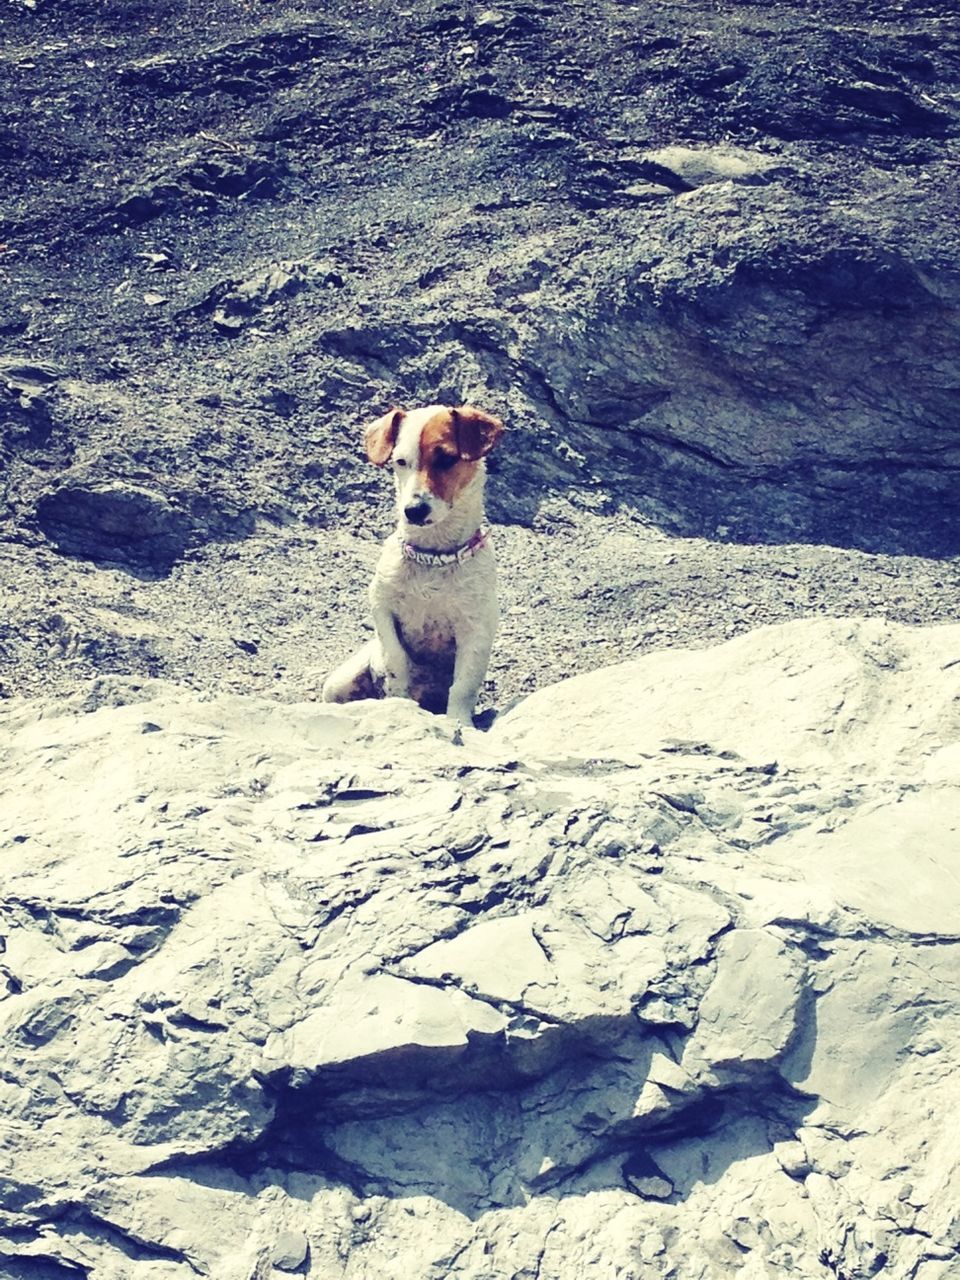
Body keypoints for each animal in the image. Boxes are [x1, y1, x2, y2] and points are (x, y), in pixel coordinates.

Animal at [321, 404, 506, 727]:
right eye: (400, 462)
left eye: (446, 458)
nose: (414, 510)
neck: (432, 558)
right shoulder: (383, 608)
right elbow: (397, 664)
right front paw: (399, 703)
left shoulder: (476, 629)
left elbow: (464, 685)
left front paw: (460, 723)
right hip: (337, 683)